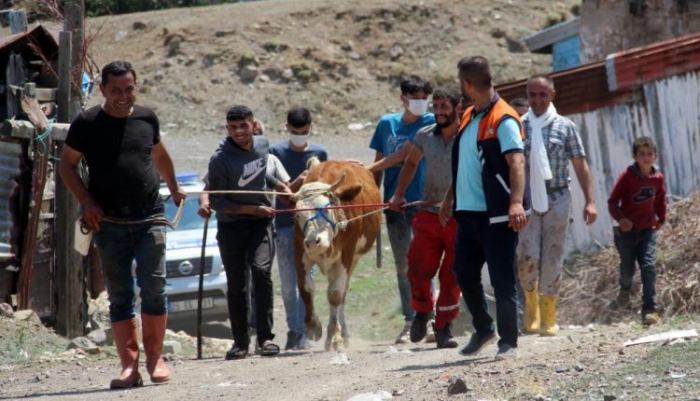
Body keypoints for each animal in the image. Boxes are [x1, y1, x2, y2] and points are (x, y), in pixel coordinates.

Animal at [296, 158, 382, 348]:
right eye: (297, 216)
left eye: (326, 209)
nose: (313, 242)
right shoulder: (300, 252)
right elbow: (305, 287)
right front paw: (313, 326)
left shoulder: (346, 256)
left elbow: (335, 294)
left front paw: (336, 336)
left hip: (353, 259)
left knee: (341, 293)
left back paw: (340, 333)